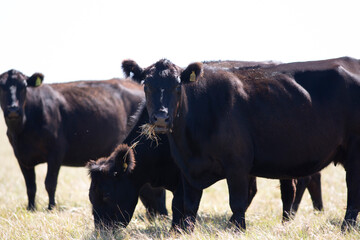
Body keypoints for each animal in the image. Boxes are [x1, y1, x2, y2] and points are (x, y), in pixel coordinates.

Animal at [121, 57, 360, 232]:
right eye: (146, 85)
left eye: (178, 86)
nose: (161, 118)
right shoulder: (187, 169)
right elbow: (188, 207)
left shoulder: (237, 166)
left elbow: (237, 202)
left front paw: (237, 229)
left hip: (354, 153)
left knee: (352, 189)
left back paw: (346, 227)